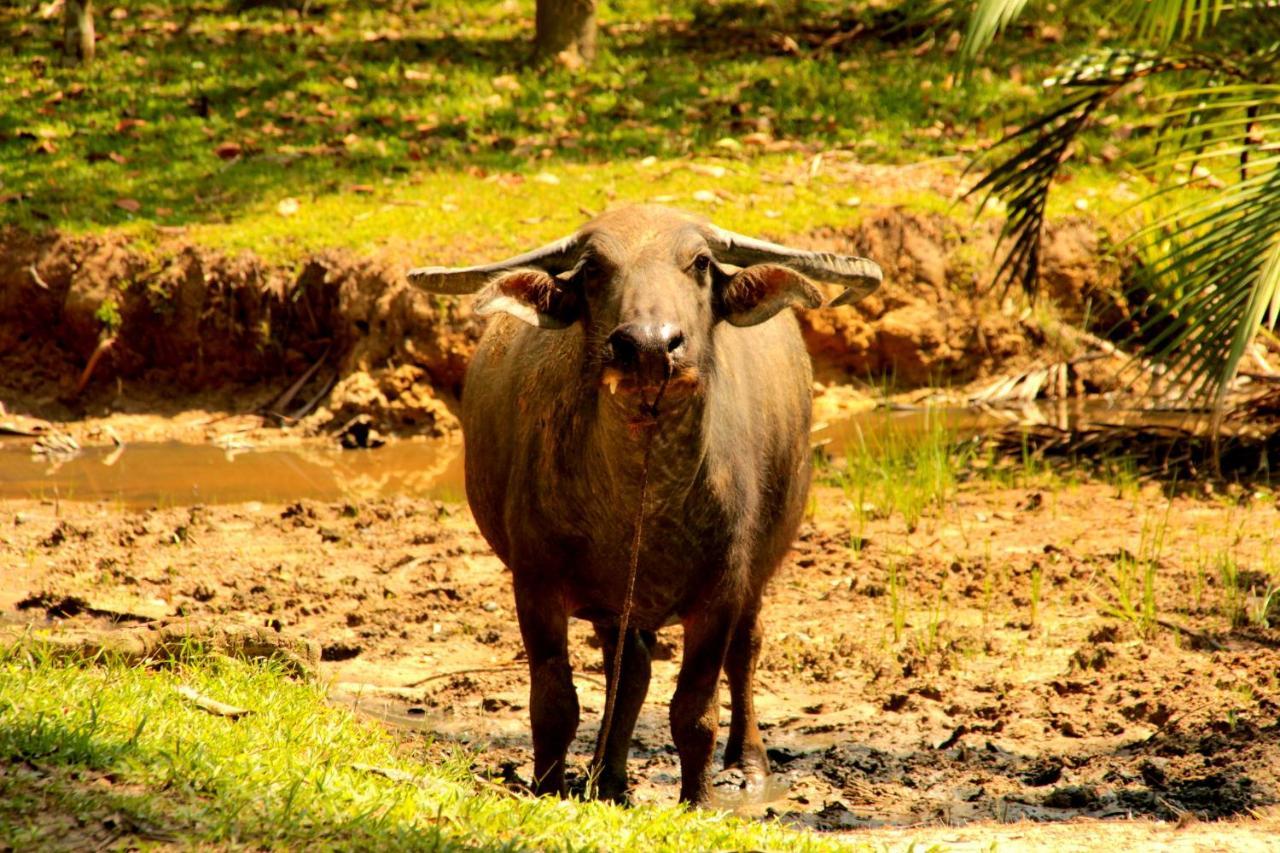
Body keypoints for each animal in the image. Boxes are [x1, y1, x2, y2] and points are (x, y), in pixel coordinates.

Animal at [409, 206, 880, 804]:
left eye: (700, 262)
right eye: (592, 268)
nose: (651, 347)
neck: (645, 496)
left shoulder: (722, 590)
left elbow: (695, 710)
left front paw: (698, 799)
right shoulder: (536, 583)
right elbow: (554, 702)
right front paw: (547, 786)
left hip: (762, 564)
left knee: (744, 651)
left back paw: (748, 766)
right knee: (628, 672)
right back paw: (607, 778)